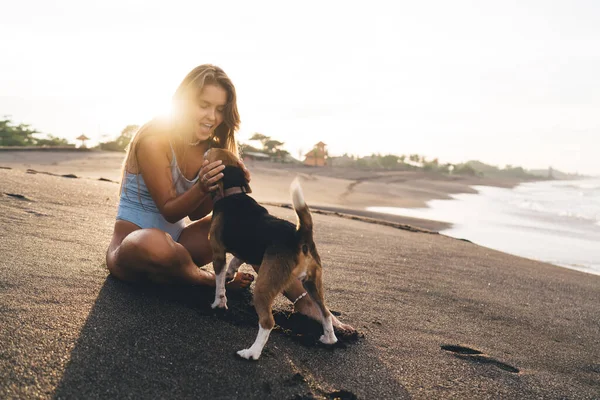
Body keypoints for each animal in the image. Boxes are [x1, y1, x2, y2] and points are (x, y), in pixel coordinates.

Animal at [204, 148, 340, 360]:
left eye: (210, 153)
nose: (207, 147)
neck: (234, 193)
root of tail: (299, 236)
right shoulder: (244, 249)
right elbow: (236, 260)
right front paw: (231, 274)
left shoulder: (218, 253)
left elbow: (219, 285)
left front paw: (219, 302)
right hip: (313, 284)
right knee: (325, 313)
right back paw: (329, 339)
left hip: (263, 287)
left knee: (268, 322)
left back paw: (251, 353)